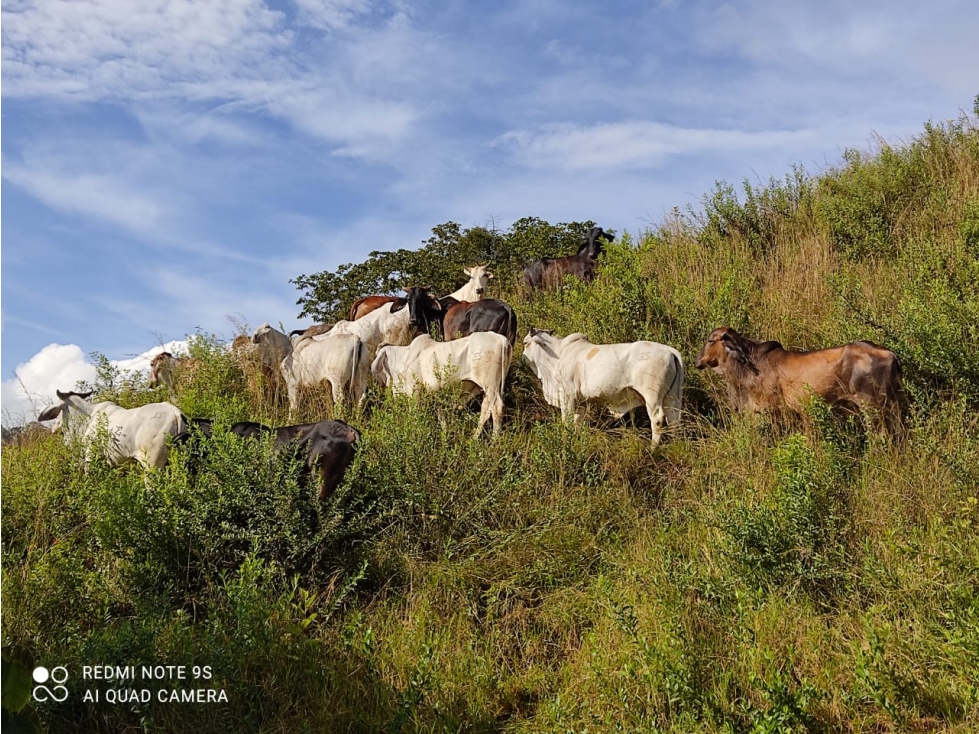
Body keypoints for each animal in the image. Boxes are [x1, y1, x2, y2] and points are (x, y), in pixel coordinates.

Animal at [370, 334, 512, 436]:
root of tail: (502, 339)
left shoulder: (415, 392)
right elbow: (441, 417)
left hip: (490, 385)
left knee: (497, 408)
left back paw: (494, 441)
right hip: (487, 388)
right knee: (485, 411)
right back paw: (474, 438)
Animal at [520, 330, 680, 446]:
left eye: (525, 342)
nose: (522, 358)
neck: (558, 355)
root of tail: (669, 351)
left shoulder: (567, 397)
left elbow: (567, 421)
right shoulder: (581, 402)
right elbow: (577, 421)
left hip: (652, 397)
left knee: (657, 419)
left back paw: (653, 448)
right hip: (671, 398)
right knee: (673, 419)